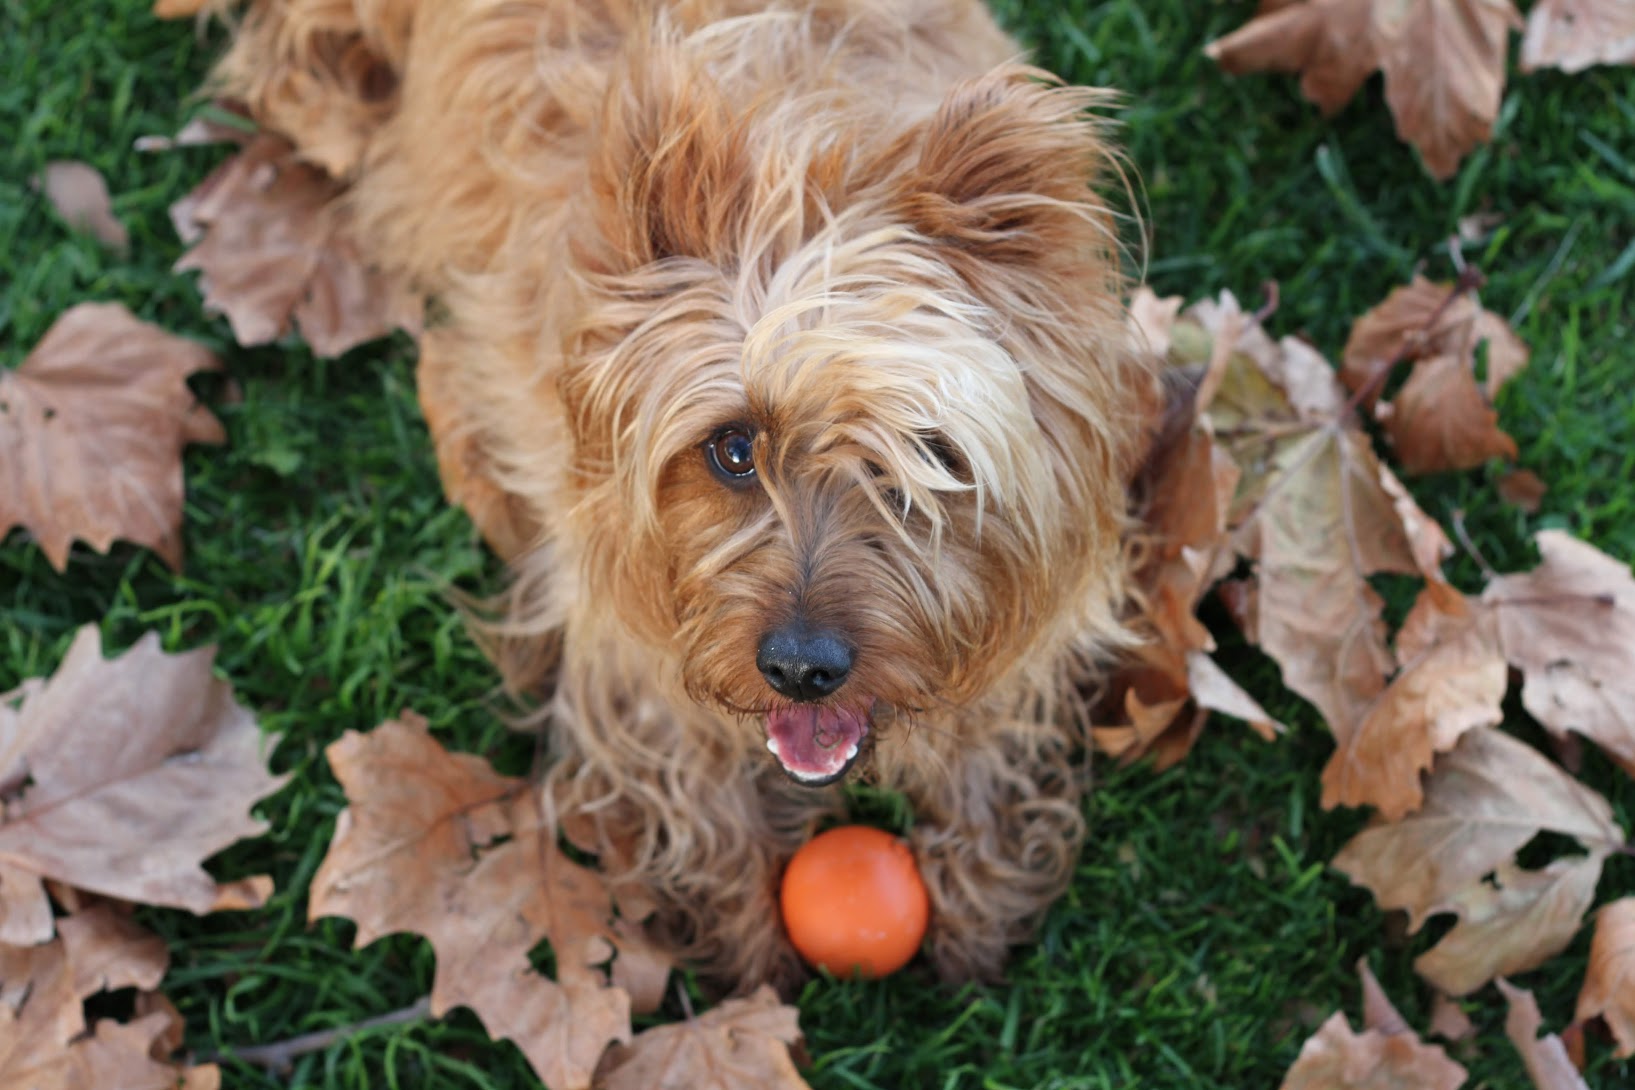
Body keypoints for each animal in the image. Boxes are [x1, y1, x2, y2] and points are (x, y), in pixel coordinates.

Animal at [214, 0, 1164, 987]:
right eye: (732, 449)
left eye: (923, 455)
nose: (801, 669)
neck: (807, 155)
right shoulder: (611, 625)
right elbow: (683, 775)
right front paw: (742, 940)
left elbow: (993, 717)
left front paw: (977, 896)